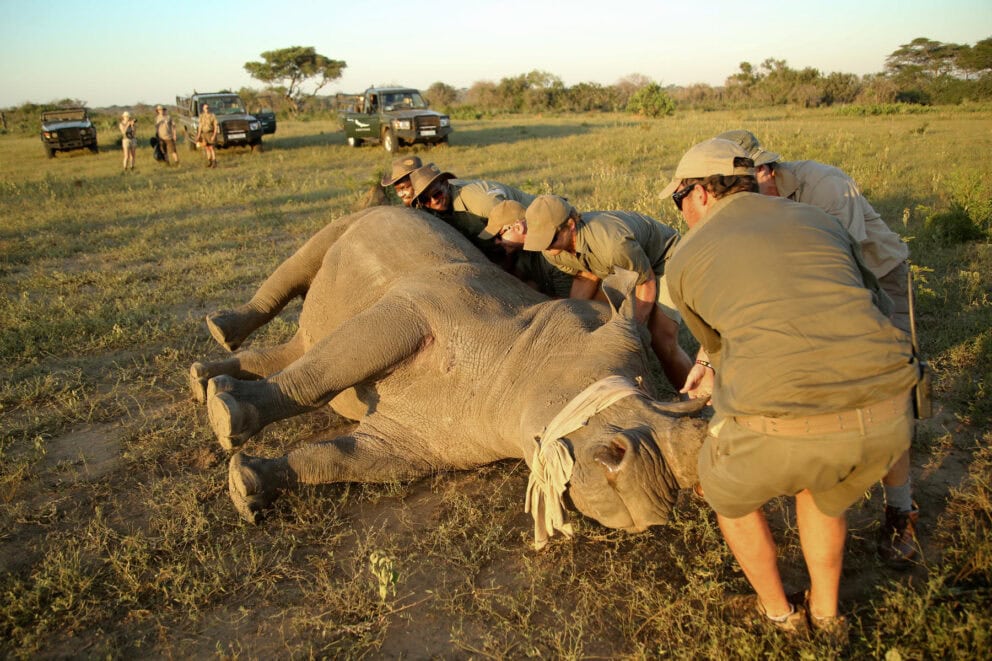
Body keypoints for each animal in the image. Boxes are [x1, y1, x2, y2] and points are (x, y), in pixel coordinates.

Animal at [189, 206, 708, 548]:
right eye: (624, 390)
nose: (654, 497)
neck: (516, 366)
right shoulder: (415, 309)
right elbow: (322, 375)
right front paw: (227, 419)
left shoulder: (420, 443)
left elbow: (335, 458)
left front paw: (245, 486)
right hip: (358, 221)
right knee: (303, 270)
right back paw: (218, 353)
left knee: (306, 342)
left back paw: (202, 381)